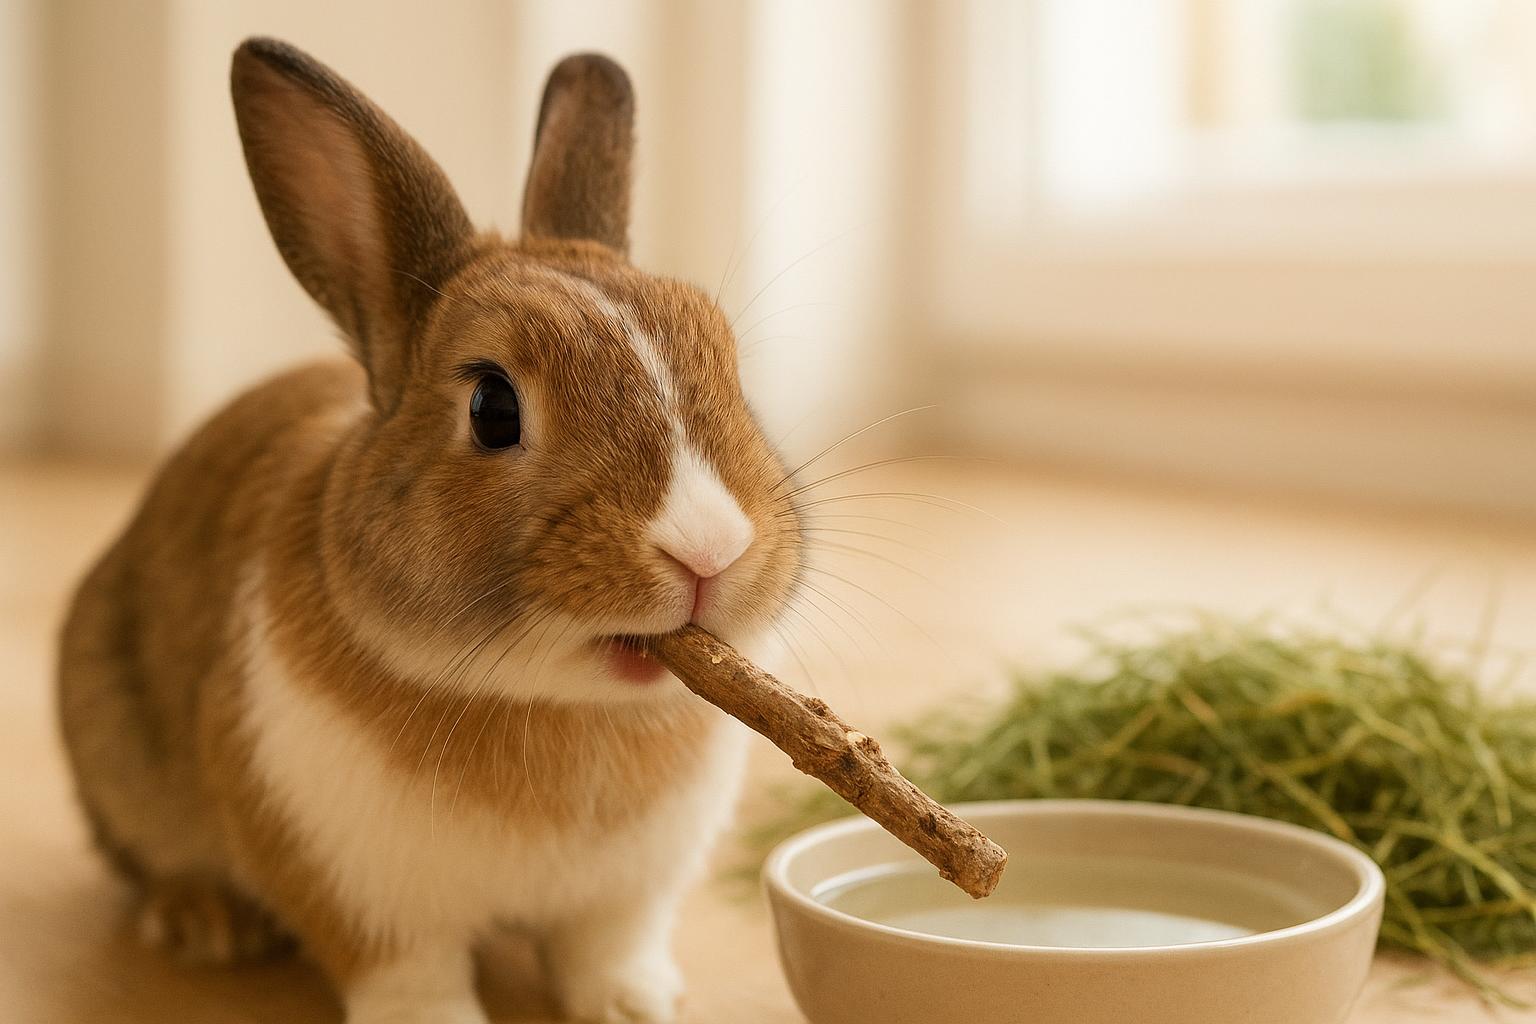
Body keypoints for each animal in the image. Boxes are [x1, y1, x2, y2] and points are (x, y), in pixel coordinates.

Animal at [57, 36, 804, 1024]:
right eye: (492, 407)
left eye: (725, 360)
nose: (709, 549)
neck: (556, 704)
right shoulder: (357, 890)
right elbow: (409, 977)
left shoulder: (627, 894)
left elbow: (607, 948)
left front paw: (632, 1007)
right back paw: (206, 922)